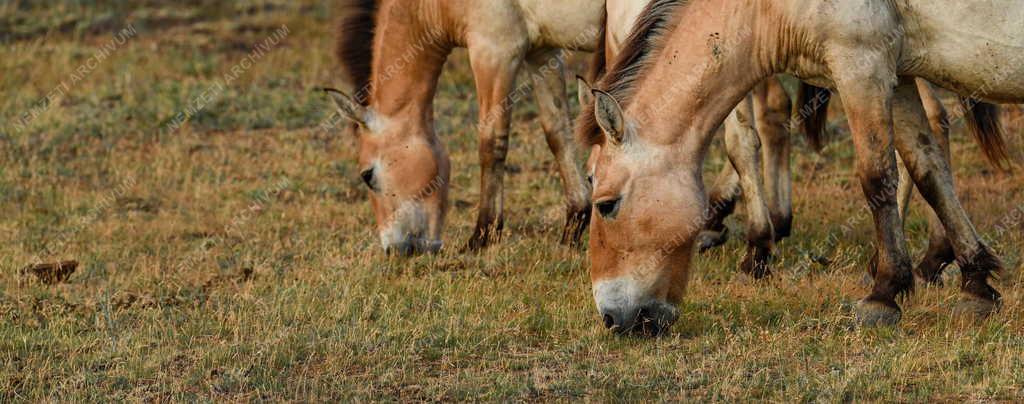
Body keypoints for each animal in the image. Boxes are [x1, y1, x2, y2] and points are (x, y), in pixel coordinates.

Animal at [323, 0, 602, 254]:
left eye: (367, 175)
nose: (393, 250)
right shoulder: (542, 51)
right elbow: (558, 134)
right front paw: (572, 230)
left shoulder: (495, 51)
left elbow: (491, 142)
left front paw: (481, 237)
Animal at [577, 0, 1015, 333]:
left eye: (606, 204)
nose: (612, 317)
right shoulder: (900, 73)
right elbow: (929, 169)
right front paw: (976, 284)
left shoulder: (862, 64)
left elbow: (877, 178)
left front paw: (883, 294)